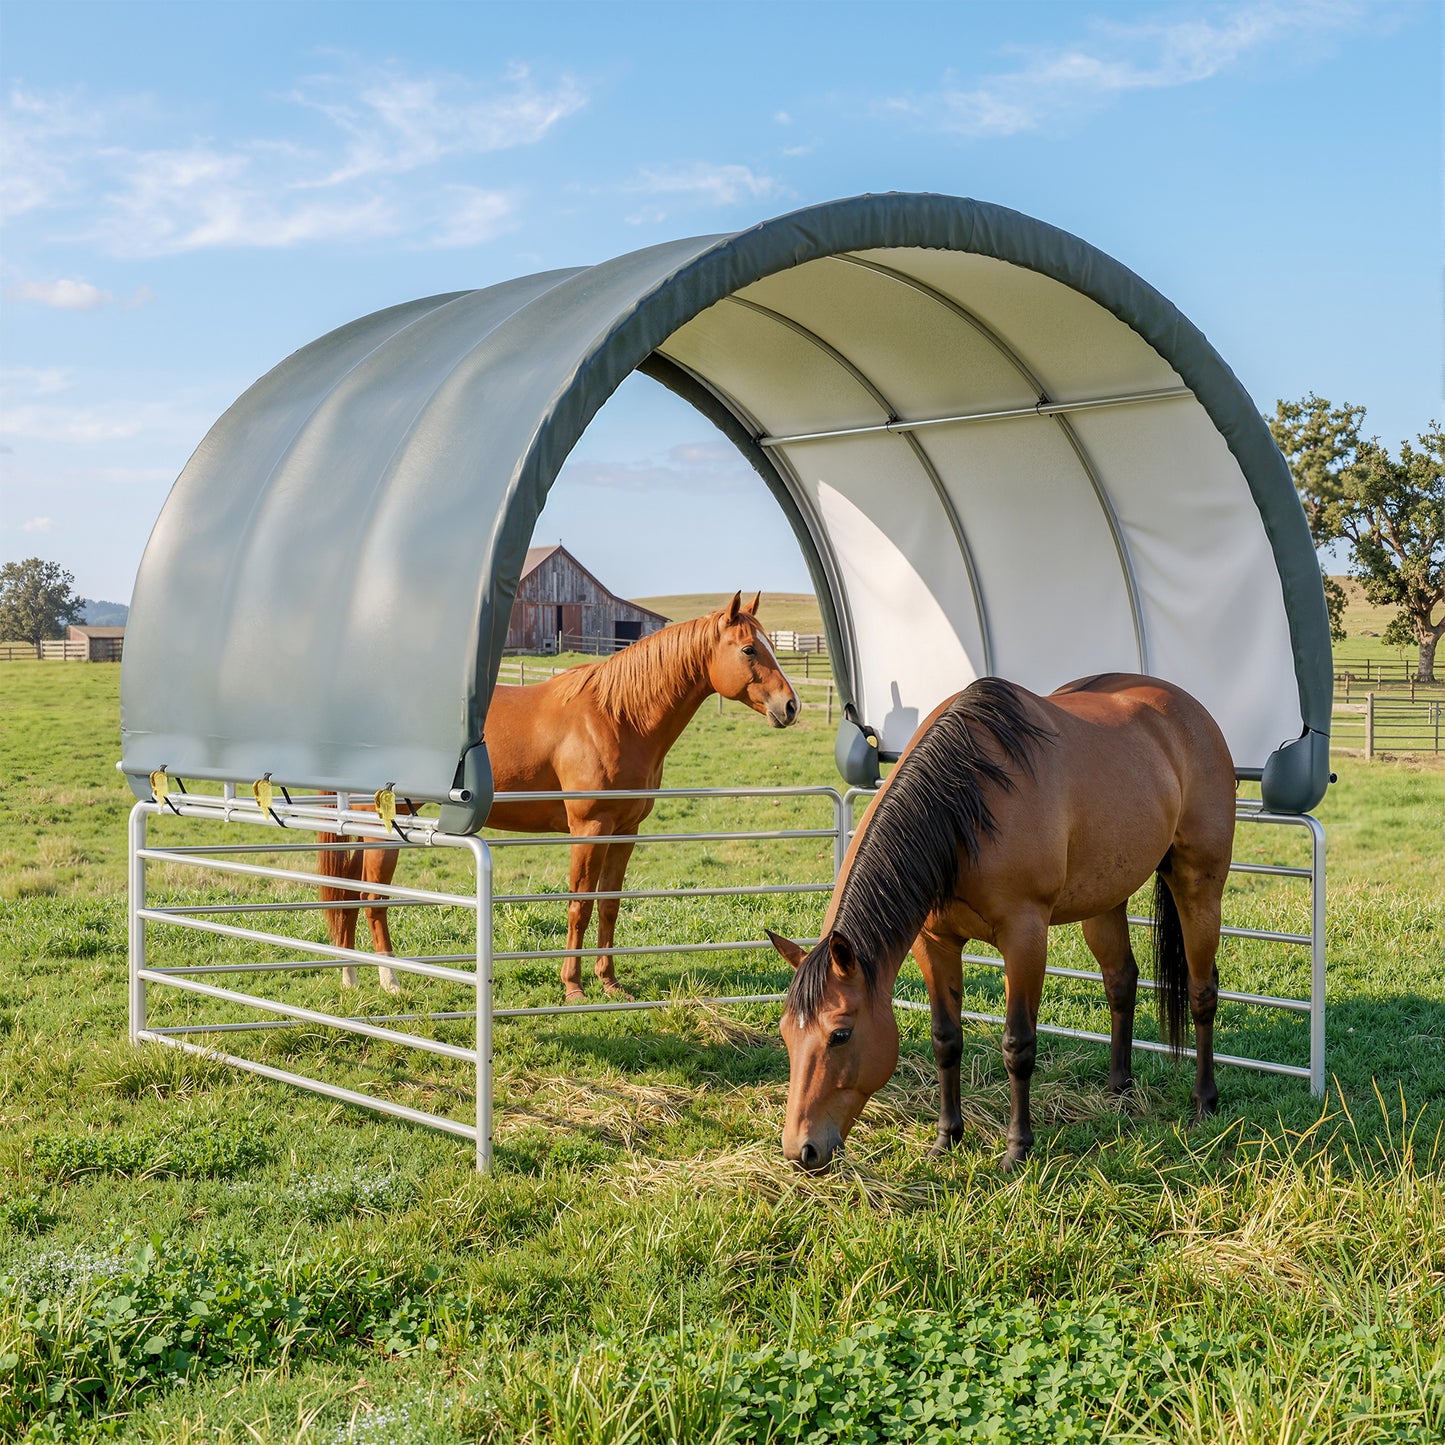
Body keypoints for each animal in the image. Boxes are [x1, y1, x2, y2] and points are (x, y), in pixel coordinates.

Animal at [319, 592, 799, 1001]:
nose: (790, 706)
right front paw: (573, 986)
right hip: (383, 829)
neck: (616, 717)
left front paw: (610, 983)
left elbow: (609, 907)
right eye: (749, 650)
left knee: (349, 895)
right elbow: (579, 907)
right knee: (372, 901)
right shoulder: (588, 829)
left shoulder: (625, 831)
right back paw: (390, 982)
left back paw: (351, 976)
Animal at [767, 673, 1236, 1172]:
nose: (801, 1150)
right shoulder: (935, 942)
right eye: (785, 1033)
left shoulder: (1024, 938)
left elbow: (1018, 1044)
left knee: (1202, 991)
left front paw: (1017, 1149)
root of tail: (1190, 710)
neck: (965, 805)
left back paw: (1204, 1102)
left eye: (840, 1034)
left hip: (1198, 886)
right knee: (1121, 982)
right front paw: (946, 1138)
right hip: (1106, 897)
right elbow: (946, 1038)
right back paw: (1118, 1091)